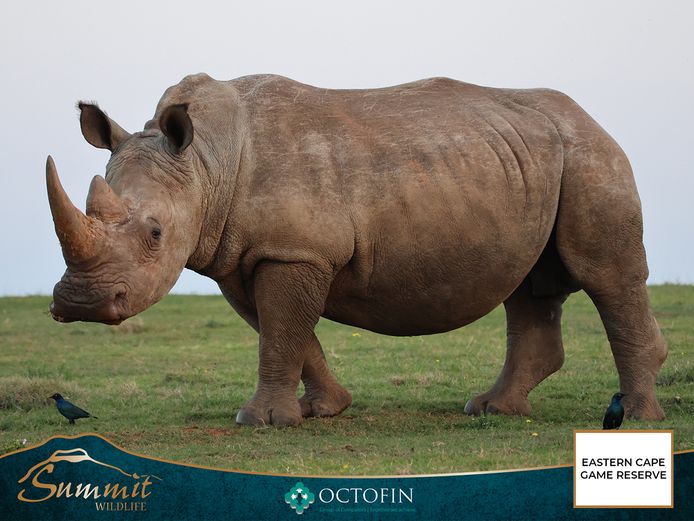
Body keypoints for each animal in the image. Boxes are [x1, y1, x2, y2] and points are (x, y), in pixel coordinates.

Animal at [46, 73, 667, 426]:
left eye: (155, 235)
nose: (80, 304)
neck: (204, 163)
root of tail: (589, 117)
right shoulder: (245, 255)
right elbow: (286, 332)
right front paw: (323, 410)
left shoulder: (294, 249)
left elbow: (282, 330)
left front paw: (260, 421)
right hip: (529, 163)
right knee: (528, 284)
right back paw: (490, 410)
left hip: (590, 154)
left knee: (607, 277)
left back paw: (637, 418)